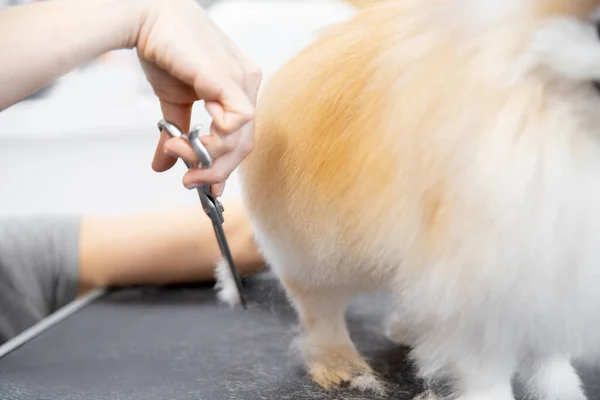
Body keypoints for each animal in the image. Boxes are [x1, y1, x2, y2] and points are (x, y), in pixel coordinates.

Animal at [216, 0, 600, 398]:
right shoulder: (480, 294)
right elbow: (487, 373)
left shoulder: (551, 287)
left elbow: (549, 364)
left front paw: (565, 393)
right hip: (316, 259)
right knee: (320, 312)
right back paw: (341, 366)